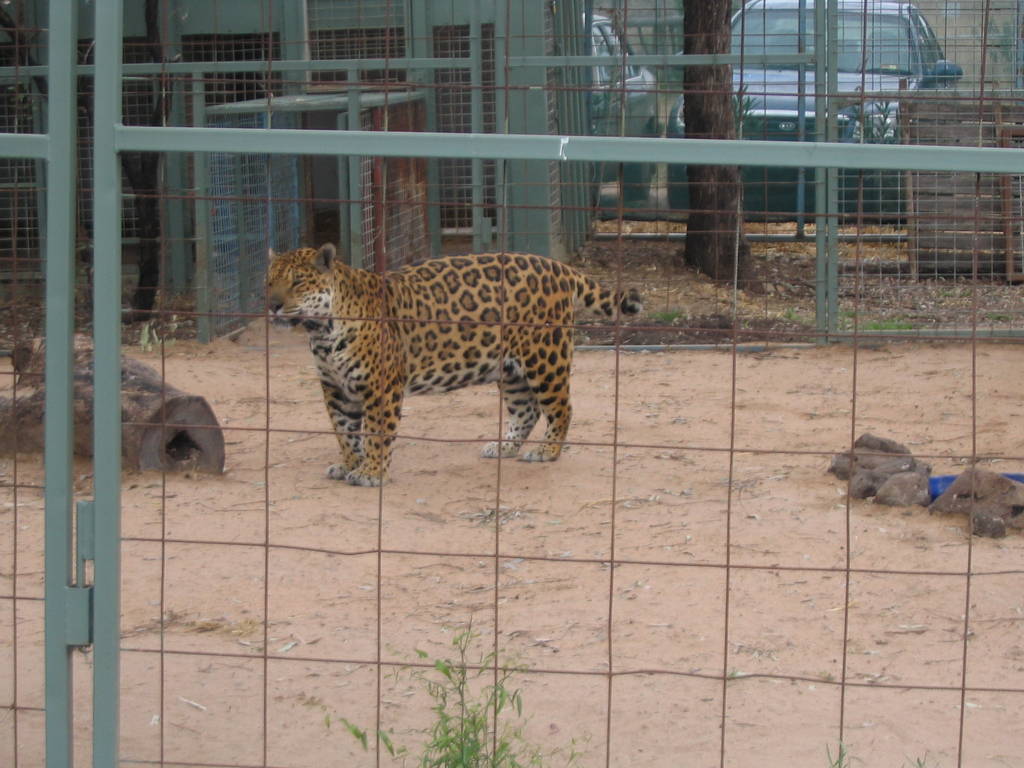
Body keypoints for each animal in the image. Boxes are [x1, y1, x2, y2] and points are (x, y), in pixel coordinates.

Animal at [266, 243, 642, 486]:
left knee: (562, 408)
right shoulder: (334, 388)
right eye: (269, 281)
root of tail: (559, 267)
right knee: (527, 409)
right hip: (511, 369)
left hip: (544, 357)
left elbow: (375, 431)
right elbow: (343, 430)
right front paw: (348, 464)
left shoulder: (380, 386)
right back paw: (504, 446)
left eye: (298, 282)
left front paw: (371, 472)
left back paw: (546, 451)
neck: (322, 331)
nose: (271, 305)